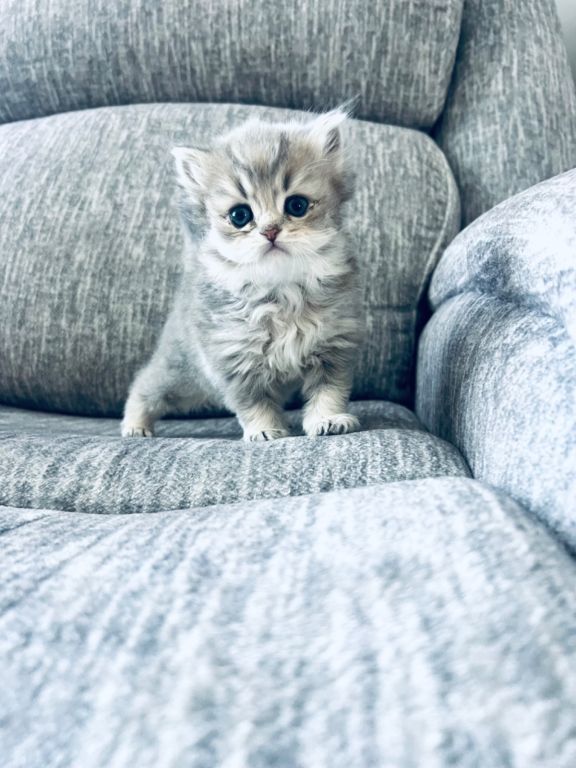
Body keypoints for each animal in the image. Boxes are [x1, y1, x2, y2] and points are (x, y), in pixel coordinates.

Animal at [122, 110, 362, 440]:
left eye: (297, 205)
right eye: (240, 216)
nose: (270, 231)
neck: (280, 295)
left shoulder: (333, 348)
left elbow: (329, 392)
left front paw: (328, 420)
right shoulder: (234, 361)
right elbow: (253, 404)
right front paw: (265, 431)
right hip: (179, 375)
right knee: (144, 384)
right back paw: (135, 425)